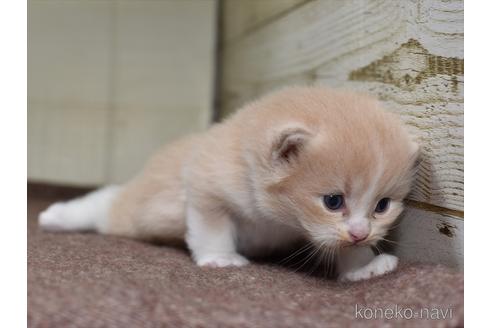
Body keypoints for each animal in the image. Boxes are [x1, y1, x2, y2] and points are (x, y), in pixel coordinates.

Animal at [37, 86, 418, 282]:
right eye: (333, 201)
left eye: (382, 206)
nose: (361, 234)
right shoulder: (206, 185)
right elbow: (212, 227)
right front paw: (221, 258)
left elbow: (345, 245)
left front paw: (364, 266)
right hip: (140, 213)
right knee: (109, 204)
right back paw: (58, 216)